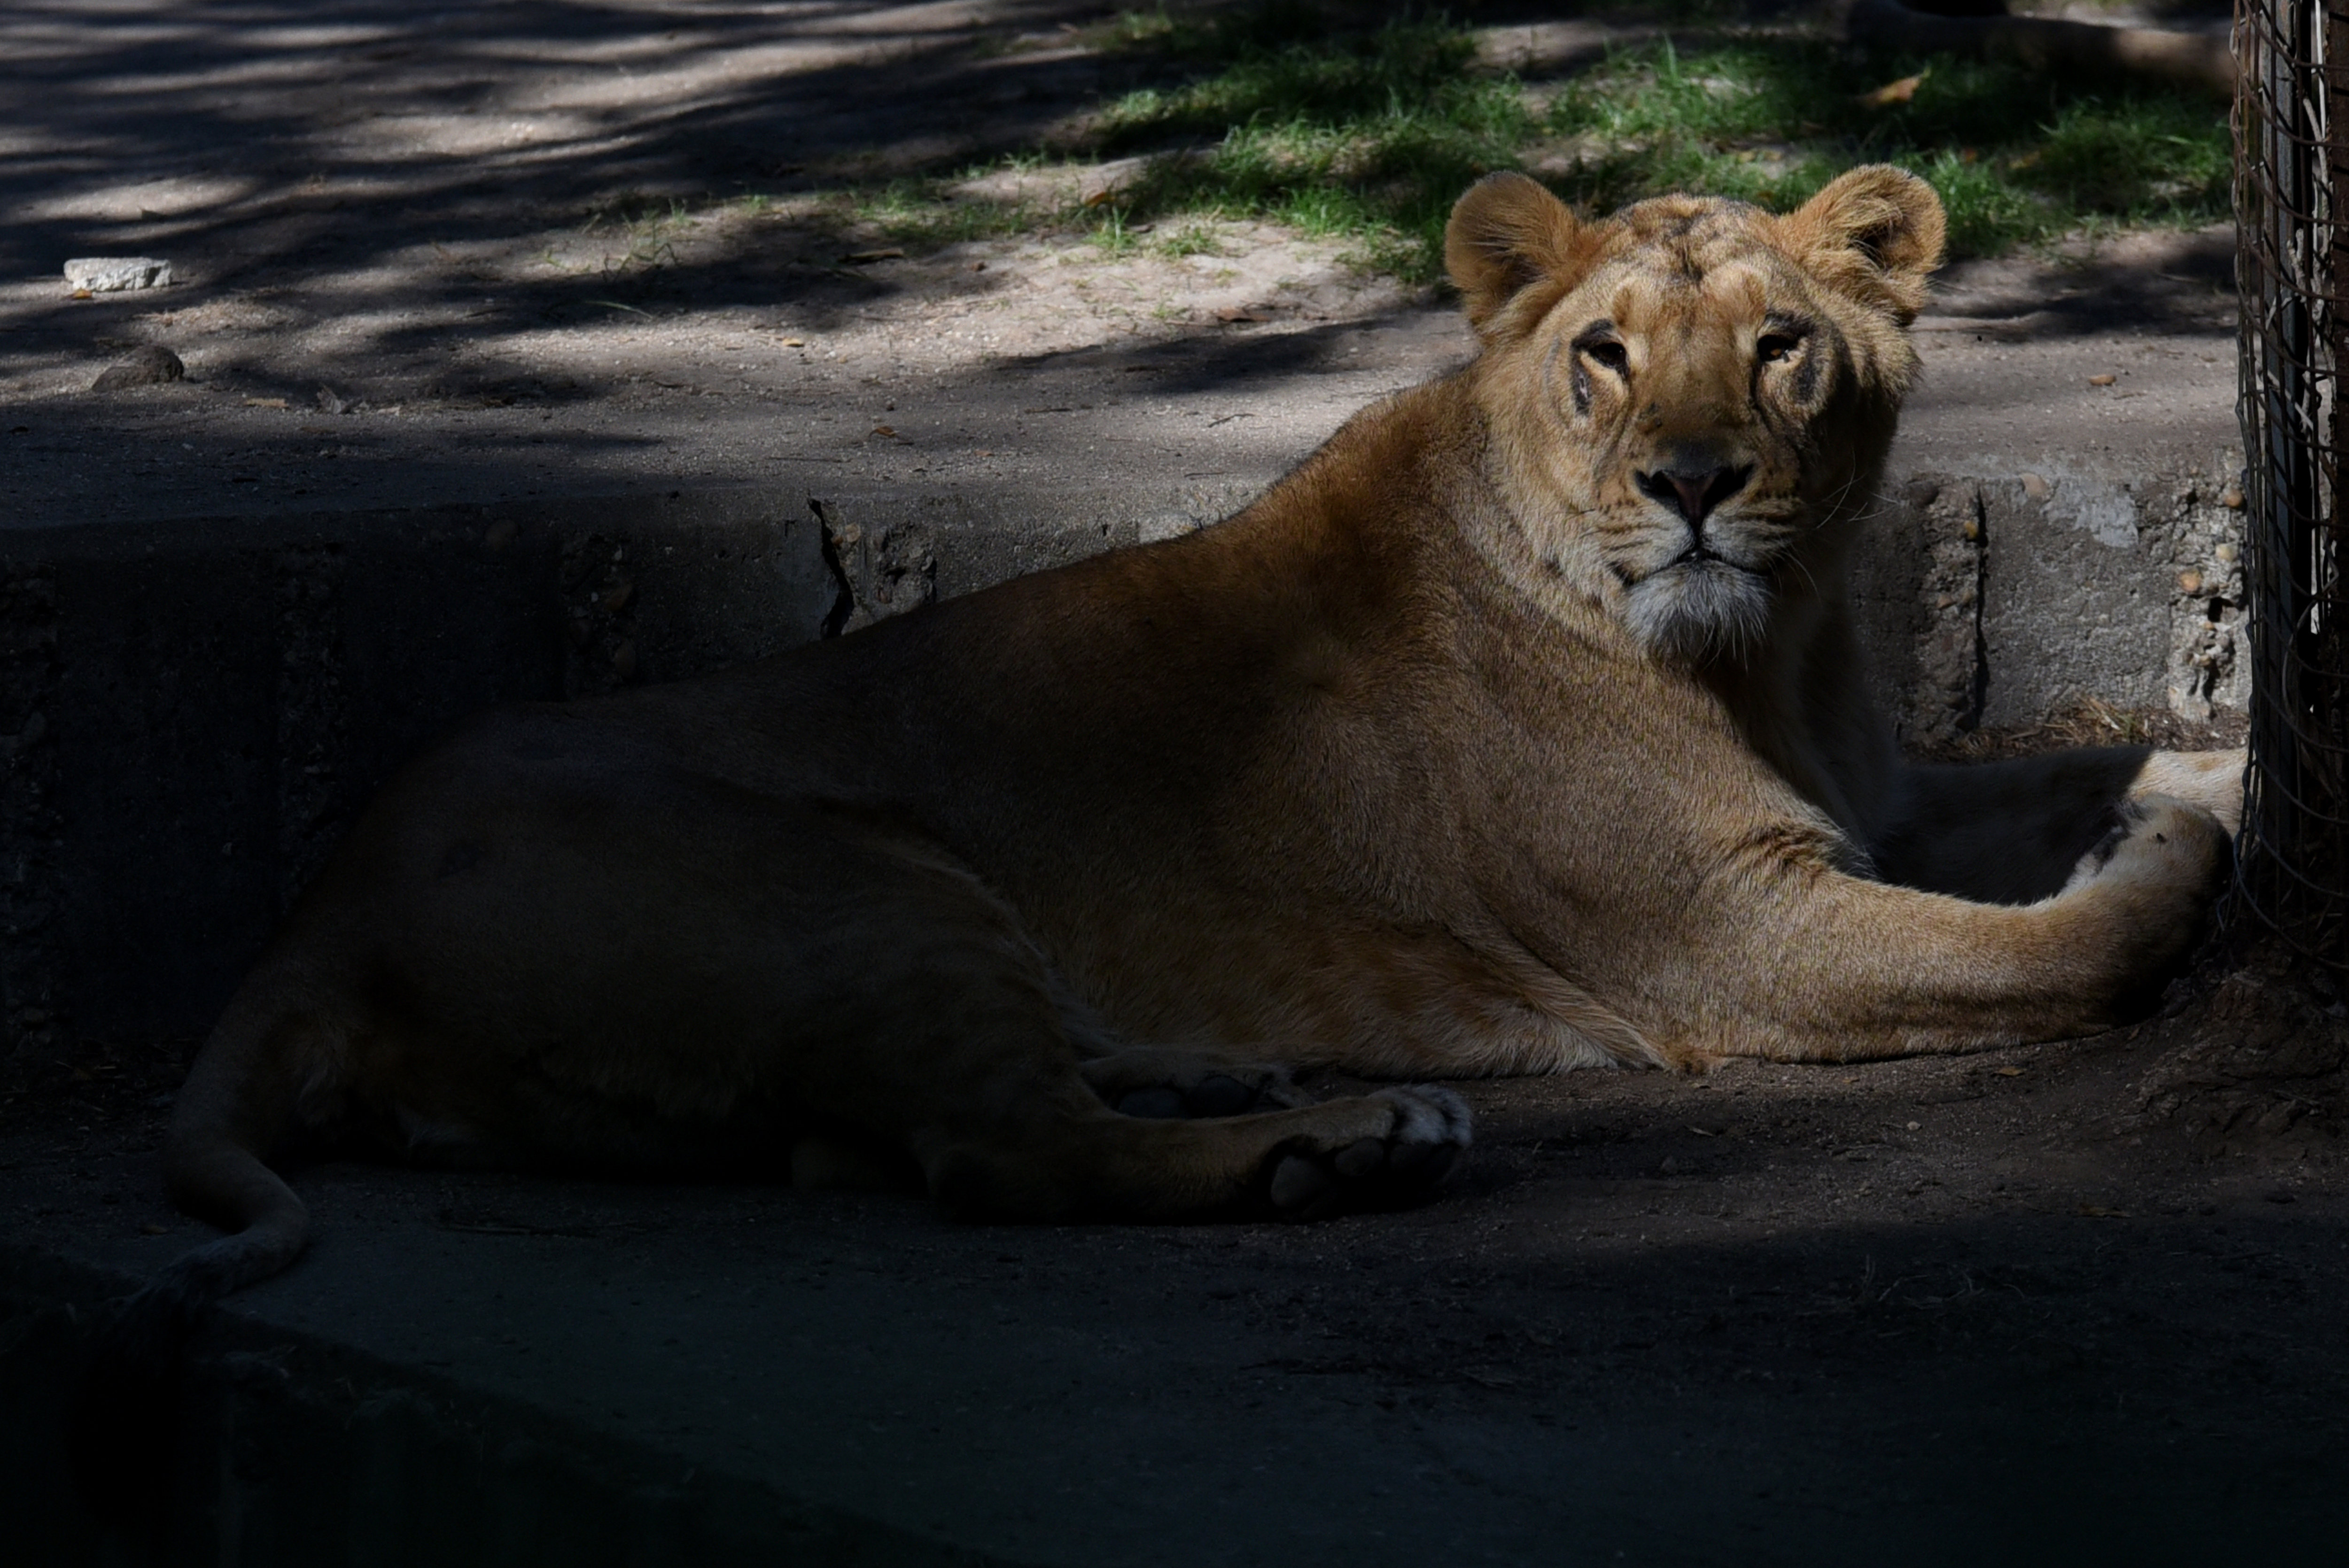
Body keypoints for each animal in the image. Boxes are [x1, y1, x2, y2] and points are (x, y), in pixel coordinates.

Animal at [123, 166, 2240, 1328]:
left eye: (1784, 347)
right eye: (1607, 356)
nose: (1698, 483)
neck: (1778, 642)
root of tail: (317, 915)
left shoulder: (1878, 804)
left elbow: (2071, 773)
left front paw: (2191, 775)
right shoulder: (1730, 939)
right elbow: (2064, 947)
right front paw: (2173, 852)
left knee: (912, 1129)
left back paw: (1235, 1078)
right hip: (862, 880)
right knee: (992, 1154)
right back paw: (1339, 1149)